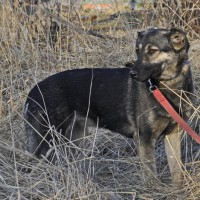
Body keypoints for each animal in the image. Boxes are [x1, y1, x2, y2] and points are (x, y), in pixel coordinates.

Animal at [23, 27, 194, 186]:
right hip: (45, 143)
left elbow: (177, 170)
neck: (169, 86)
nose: (132, 74)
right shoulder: (145, 139)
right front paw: (154, 191)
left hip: (74, 139)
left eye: (152, 51)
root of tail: (32, 92)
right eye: (137, 51)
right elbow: (151, 176)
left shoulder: (173, 134)